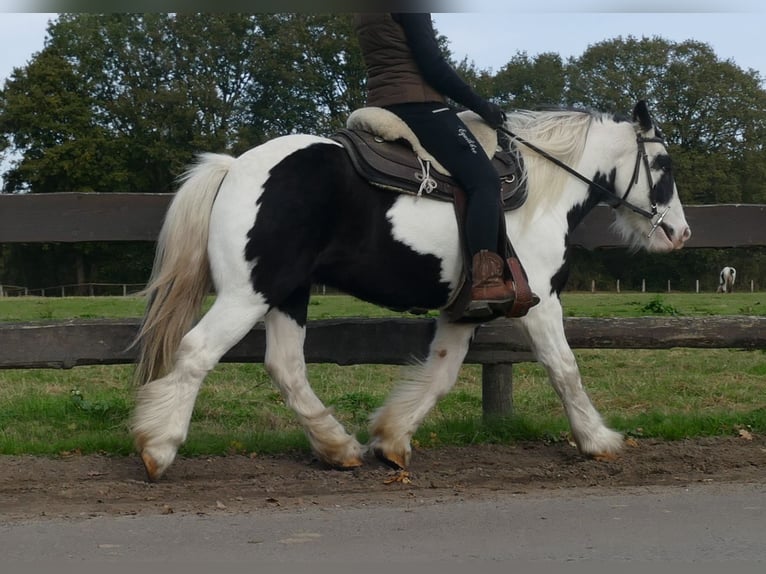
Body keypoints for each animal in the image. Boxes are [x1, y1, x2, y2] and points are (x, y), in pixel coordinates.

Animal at [129, 100, 692, 482]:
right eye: (664, 168)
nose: (680, 233)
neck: (540, 194)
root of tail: (234, 167)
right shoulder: (540, 305)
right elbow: (564, 368)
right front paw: (597, 440)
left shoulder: (465, 311)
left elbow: (440, 374)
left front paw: (392, 439)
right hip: (249, 293)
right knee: (197, 352)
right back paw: (159, 448)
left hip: (286, 295)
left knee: (285, 367)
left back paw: (339, 448)